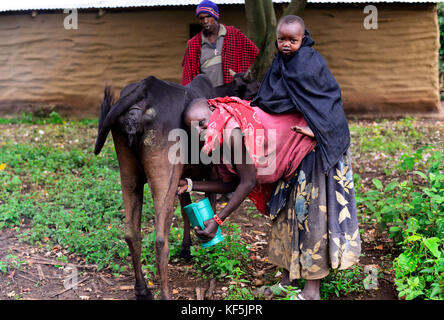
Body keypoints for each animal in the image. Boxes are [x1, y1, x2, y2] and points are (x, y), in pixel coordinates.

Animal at [94, 74, 260, 298]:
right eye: (252, 91)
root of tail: (143, 90)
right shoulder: (210, 170)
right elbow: (210, 203)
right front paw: (208, 245)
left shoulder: (184, 175)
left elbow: (185, 209)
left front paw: (186, 248)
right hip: (165, 173)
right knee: (160, 240)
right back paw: (164, 294)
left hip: (129, 173)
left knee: (131, 233)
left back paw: (142, 289)